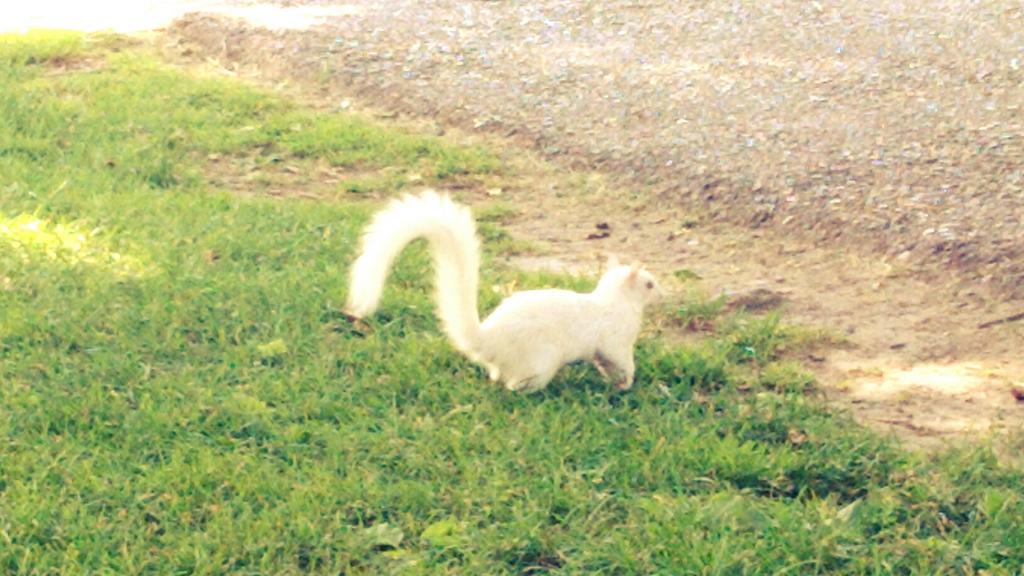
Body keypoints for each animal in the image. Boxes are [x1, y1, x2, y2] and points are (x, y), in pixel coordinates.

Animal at [345, 190, 664, 393]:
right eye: (649, 283)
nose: (661, 293)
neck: (615, 301)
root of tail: (490, 342)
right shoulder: (615, 340)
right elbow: (622, 361)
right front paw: (627, 384)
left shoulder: (602, 350)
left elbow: (604, 363)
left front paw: (615, 383)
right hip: (541, 361)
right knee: (514, 385)